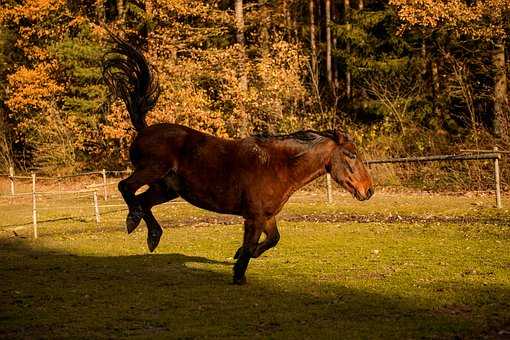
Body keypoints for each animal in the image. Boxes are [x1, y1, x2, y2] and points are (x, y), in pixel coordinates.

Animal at [103, 33, 374, 284]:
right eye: (351, 155)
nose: (369, 190)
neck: (278, 166)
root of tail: (144, 129)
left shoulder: (266, 216)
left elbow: (273, 239)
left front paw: (241, 255)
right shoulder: (253, 217)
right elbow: (253, 243)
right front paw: (239, 273)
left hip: (166, 188)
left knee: (143, 201)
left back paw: (152, 235)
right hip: (152, 170)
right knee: (126, 188)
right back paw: (134, 221)